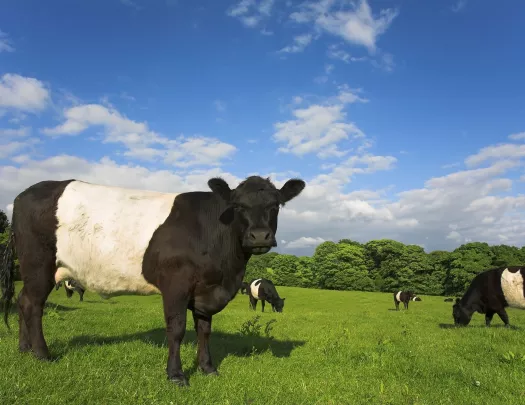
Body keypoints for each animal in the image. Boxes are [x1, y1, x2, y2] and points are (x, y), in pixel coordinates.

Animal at [0, 174, 304, 386]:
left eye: (276, 205)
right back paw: (42, 354)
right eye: (238, 205)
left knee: (23, 300)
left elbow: (205, 330)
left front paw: (207, 368)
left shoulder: (206, 290)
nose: (260, 236)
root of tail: (24, 193)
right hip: (38, 265)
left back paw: (24, 349)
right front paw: (176, 375)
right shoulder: (176, 285)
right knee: (32, 305)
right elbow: (177, 329)